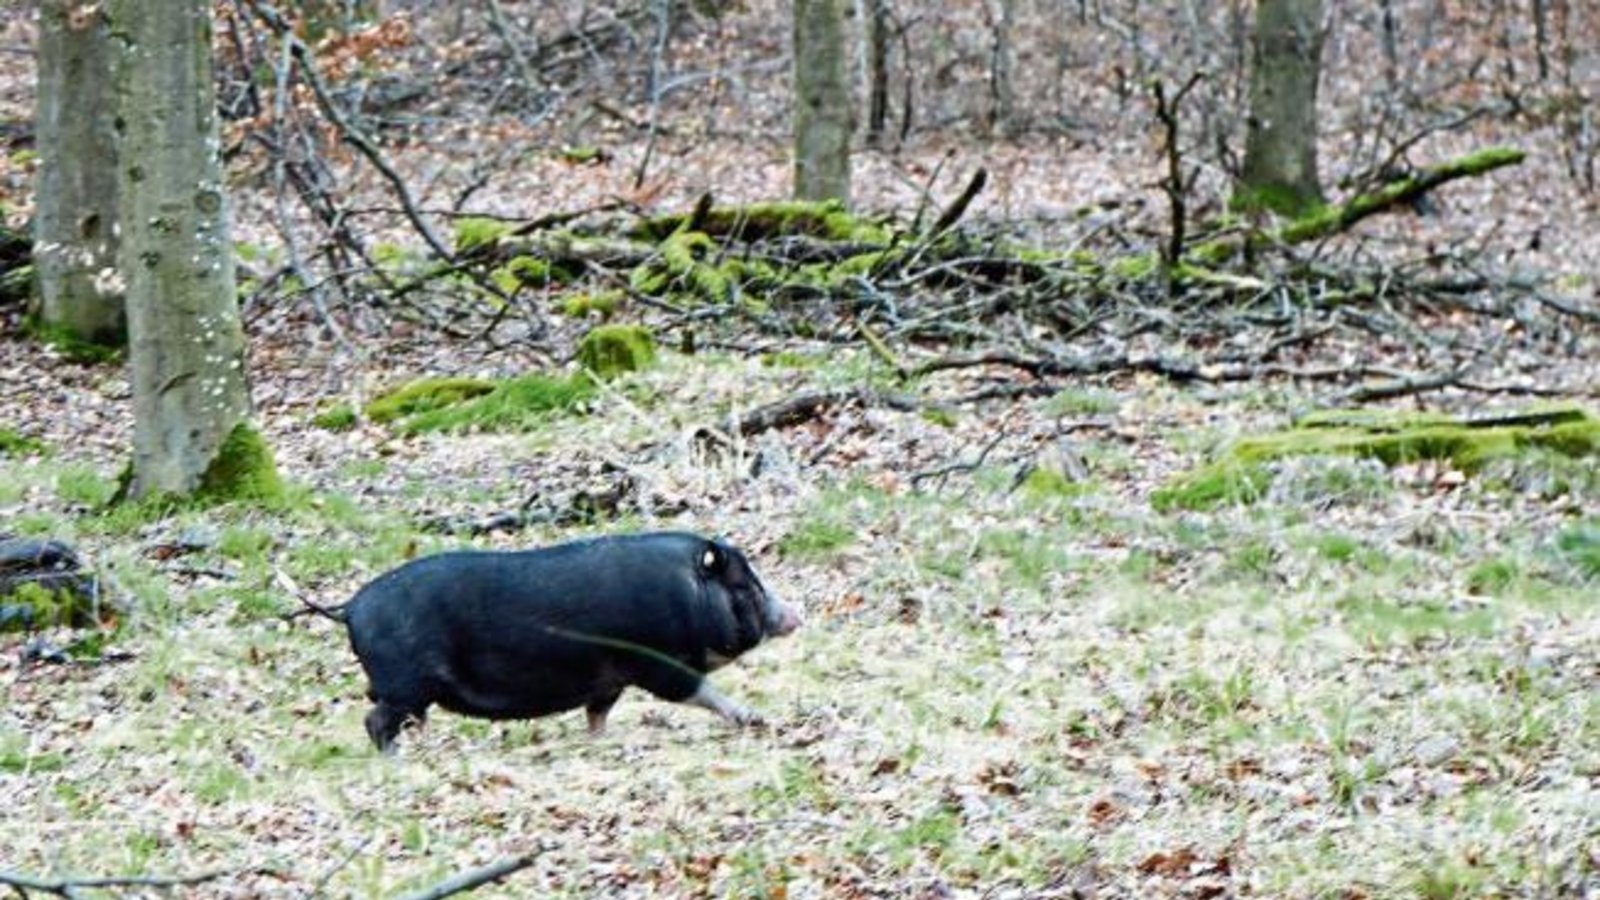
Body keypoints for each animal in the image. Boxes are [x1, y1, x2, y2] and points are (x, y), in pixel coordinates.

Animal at [323, 531, 802, 751]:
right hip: (405, 685)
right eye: (745, 587)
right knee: (374, 721)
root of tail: (349, 606)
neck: (689, 596)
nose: (797, 615)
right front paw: (755, 718)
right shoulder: (656, 663)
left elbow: (598, 713)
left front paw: (598, 741)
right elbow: (700, 689)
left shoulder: (610, 680)